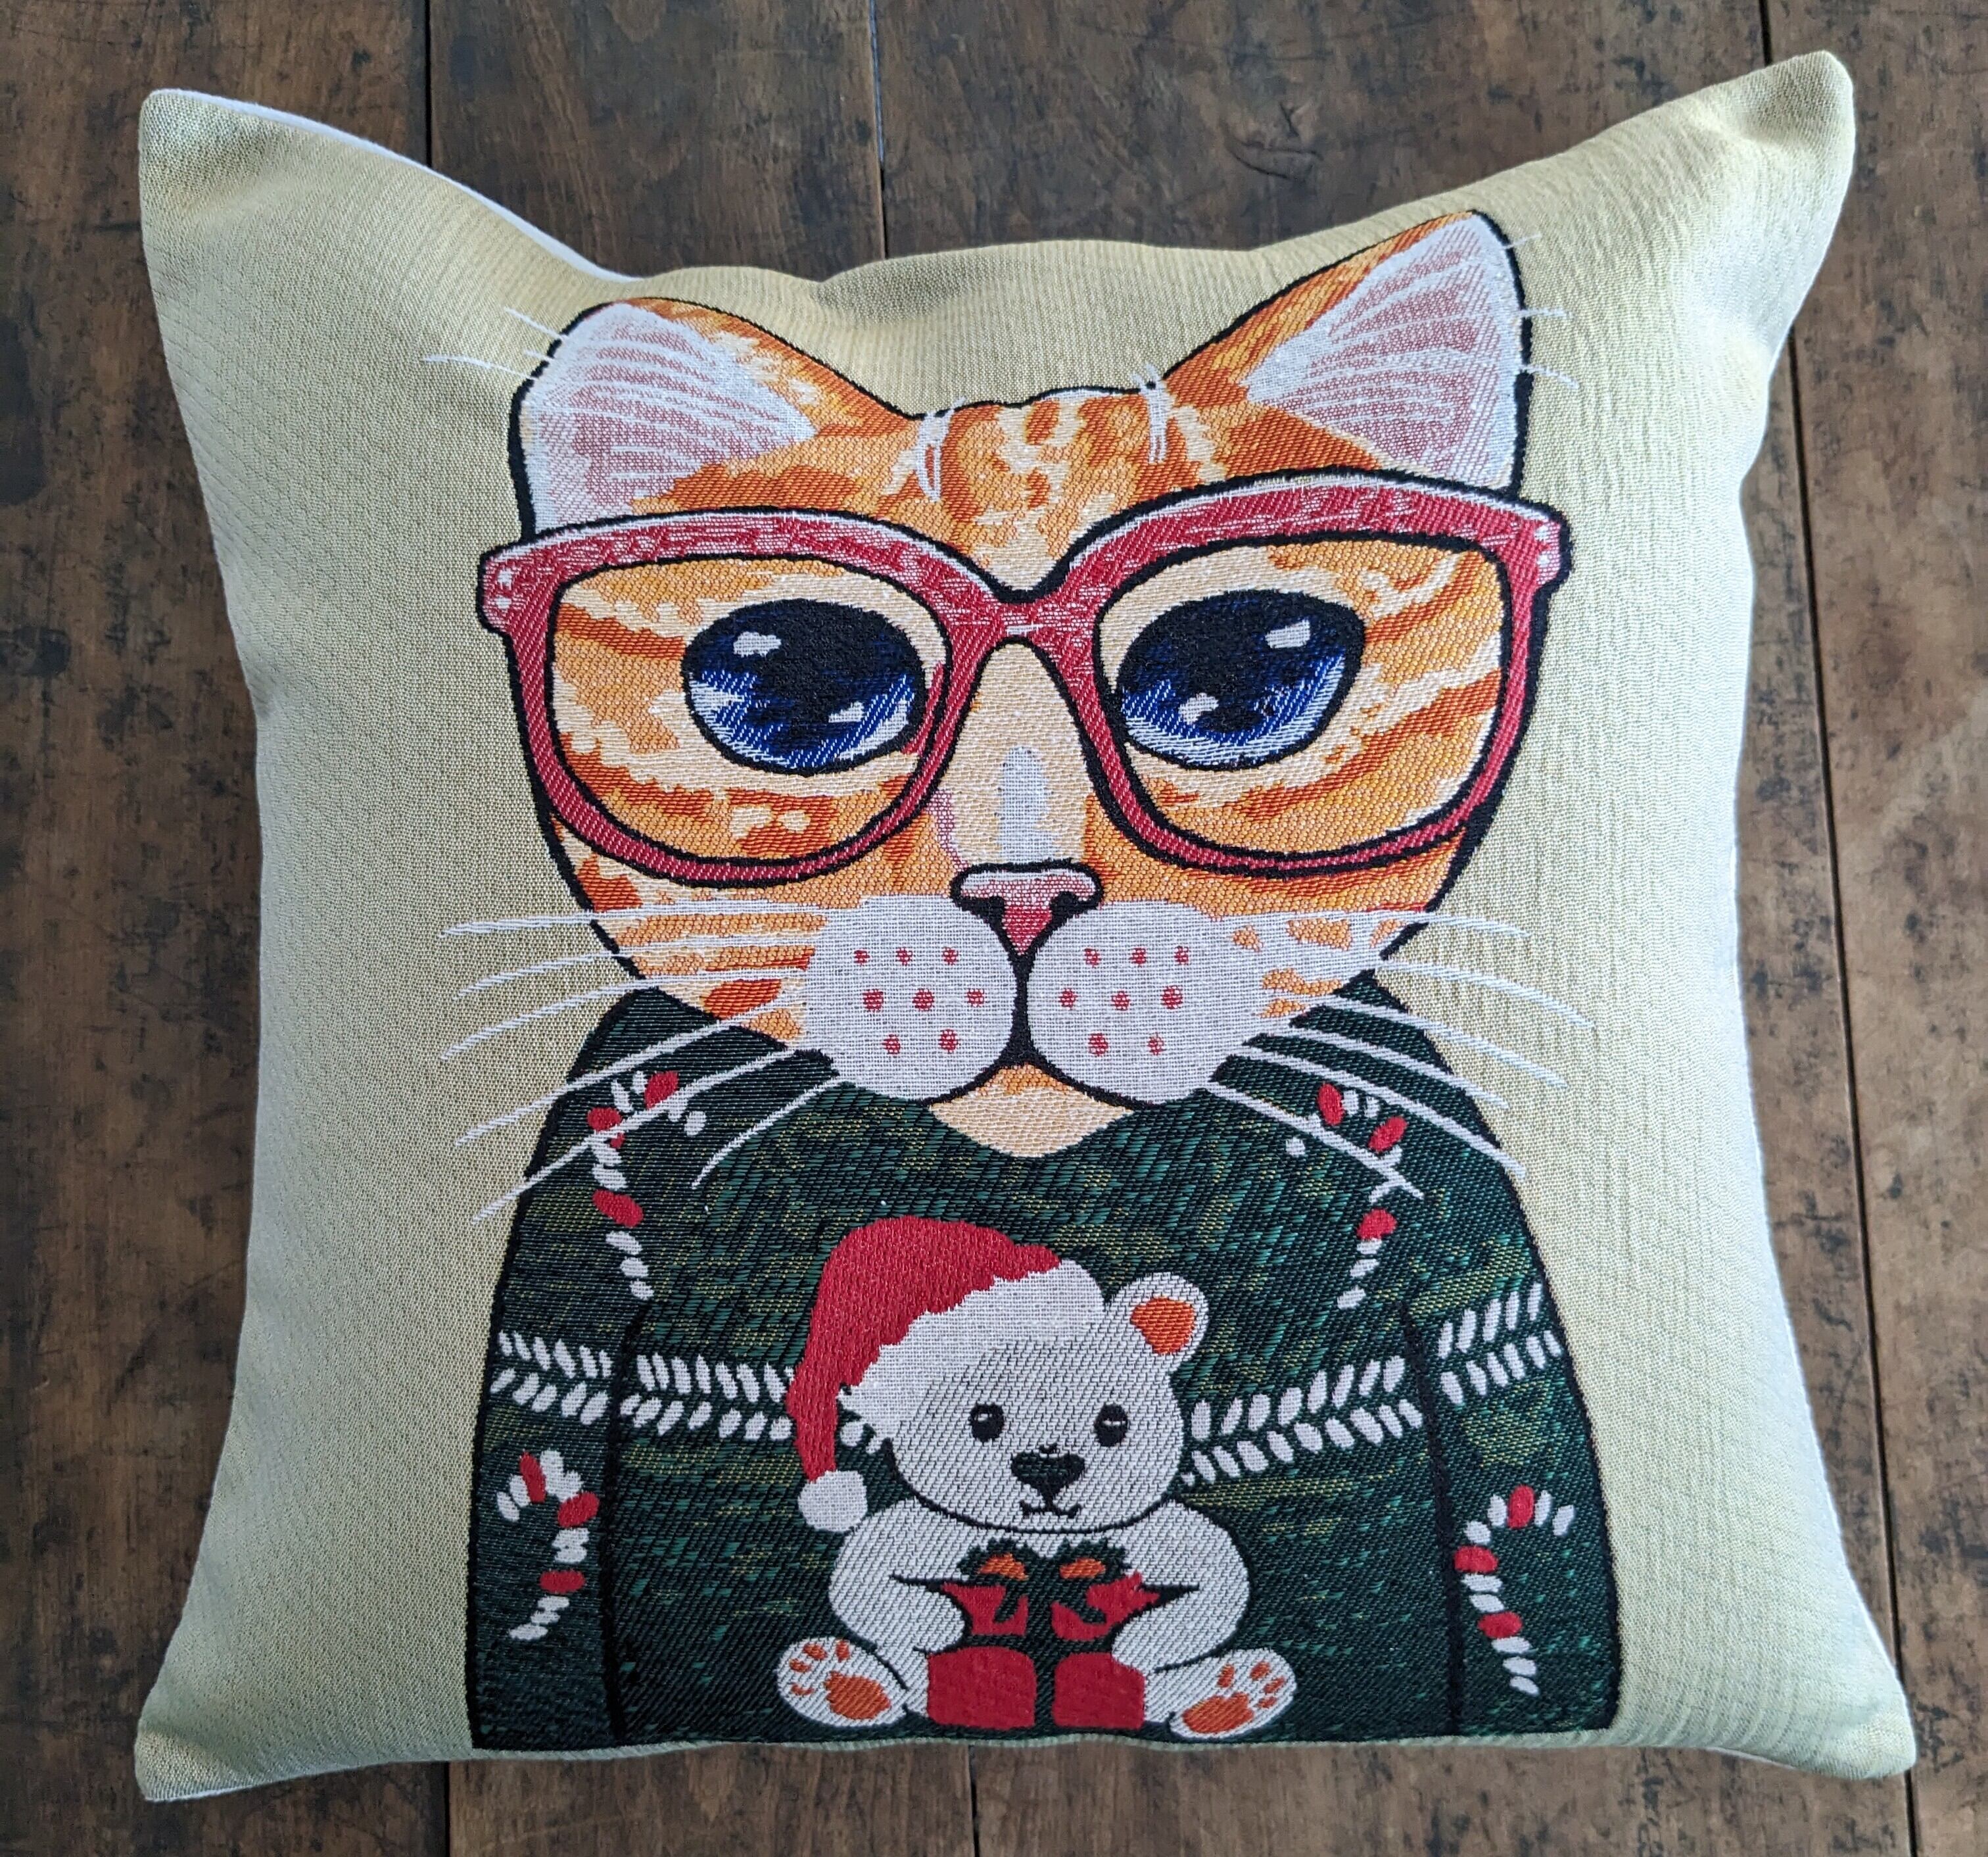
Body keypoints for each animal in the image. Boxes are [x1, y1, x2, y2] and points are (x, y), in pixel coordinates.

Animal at [456, 211, 1621, 1749]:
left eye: (1237, 683)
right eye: (793, 695)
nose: (1022, 887)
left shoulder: (1466, 1244)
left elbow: (1523, 1558)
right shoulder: (570, 1269)